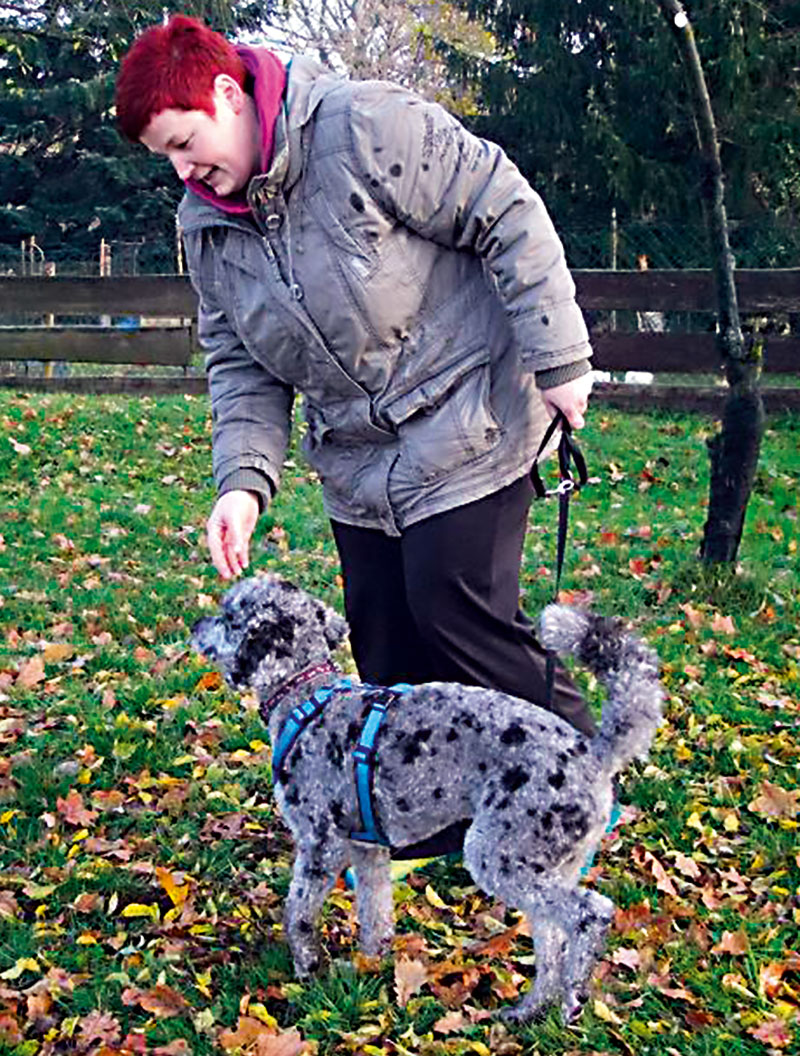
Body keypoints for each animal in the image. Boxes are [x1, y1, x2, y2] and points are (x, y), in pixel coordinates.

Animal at [193, 574, 662, 1017]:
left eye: (229, 617)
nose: (197, 625)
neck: (308, 698)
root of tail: (594, 753)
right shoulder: (367, 849)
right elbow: (375, 913)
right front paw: (369, 963)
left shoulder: (319, 845)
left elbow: (299, 914)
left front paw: (307, 969)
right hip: (541, 863)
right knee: (551, 937)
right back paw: (528, 1009)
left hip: (502, 853)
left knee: (589, 913)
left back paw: (574, 996)